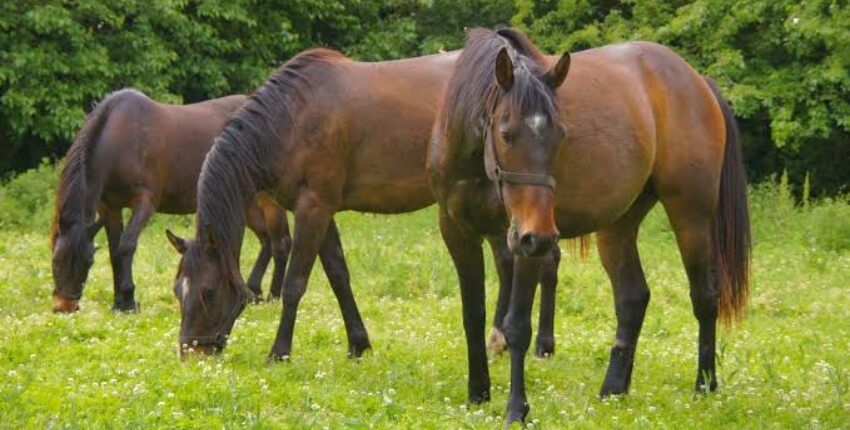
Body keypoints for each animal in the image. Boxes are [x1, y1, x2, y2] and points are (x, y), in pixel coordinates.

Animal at [50, 89, 293, 314]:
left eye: (87, 262)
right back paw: (255, 292)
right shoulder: (109, 208)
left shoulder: (145, 202)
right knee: (266, 241)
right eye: (56, 260)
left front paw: (128, 301)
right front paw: (119, 302)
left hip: (265, 198)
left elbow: (126, 246)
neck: (121, 138)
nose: (65, 306)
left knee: (279, 242)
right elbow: (113, 252)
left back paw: (272, 295)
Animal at [166, 48, 562, 359]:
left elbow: (295, 282)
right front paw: (358, 343)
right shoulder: (319, 209)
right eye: (177, 289)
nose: (191, 352)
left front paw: (279, 351)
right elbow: (338, 274)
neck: (291, 117)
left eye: (207, 290)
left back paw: (524, 342)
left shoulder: (314, 207)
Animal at [428, 28, 751, 423]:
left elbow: (517, 325)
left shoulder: (526, 243)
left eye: (560, 135)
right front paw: (478, 393)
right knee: (632, 297)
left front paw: (516, 408)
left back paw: (705, 385)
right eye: (506, 133)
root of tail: (697, 81)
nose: (540, 236)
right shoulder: (460, 232)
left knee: (704, 295)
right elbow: (473, 315)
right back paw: (614, 388)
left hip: (690, 214)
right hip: (617, 225)